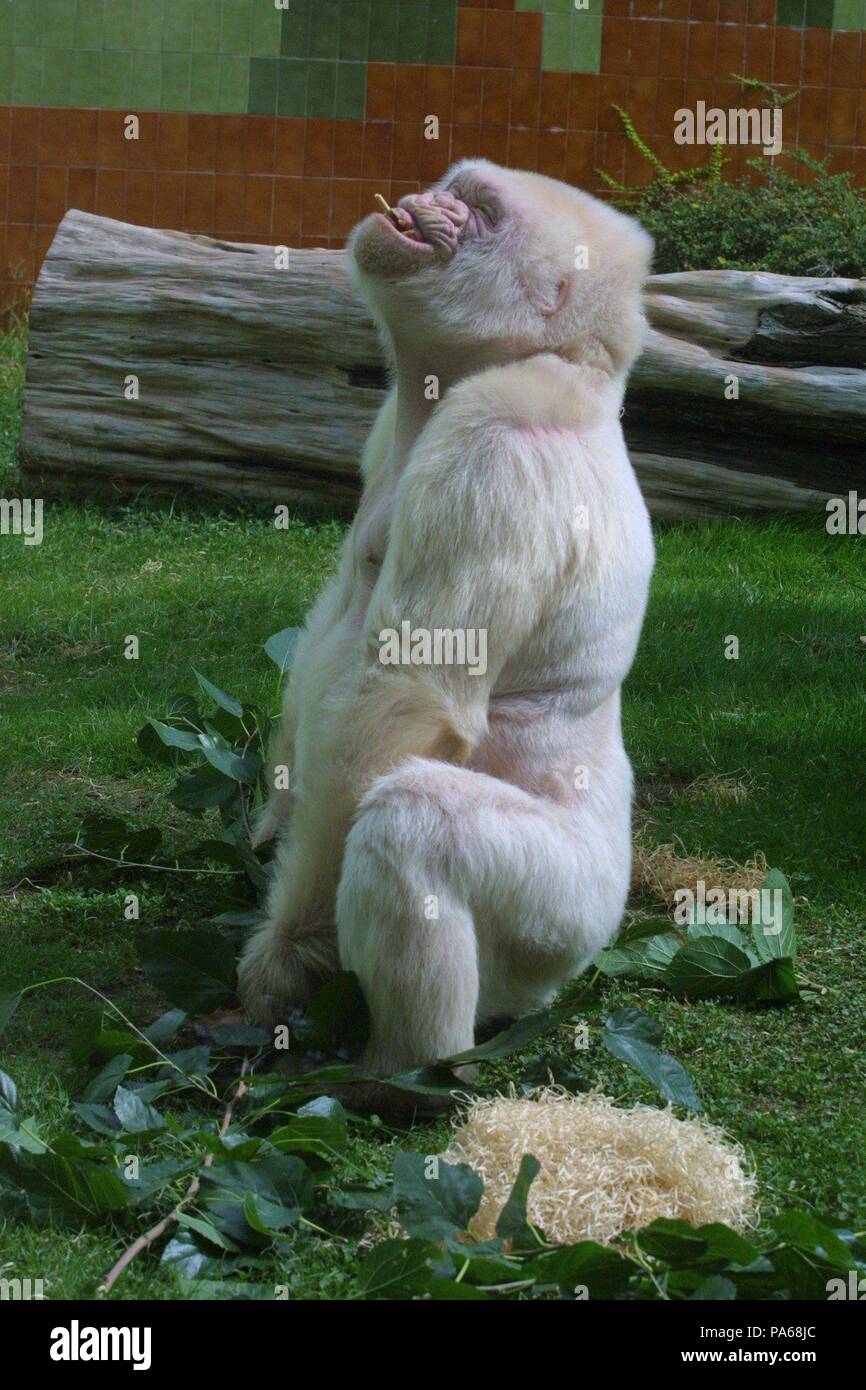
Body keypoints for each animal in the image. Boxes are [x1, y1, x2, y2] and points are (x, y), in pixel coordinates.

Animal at [239, 159, 656, 1095]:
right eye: (456, 184)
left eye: (483, 213)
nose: (424, 202)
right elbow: (332, 631)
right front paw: (271, 826)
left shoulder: (500, 438)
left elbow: (401, 698)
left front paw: (292, 953)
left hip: (565, 928)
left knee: (410, 821)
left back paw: (403, 1076)